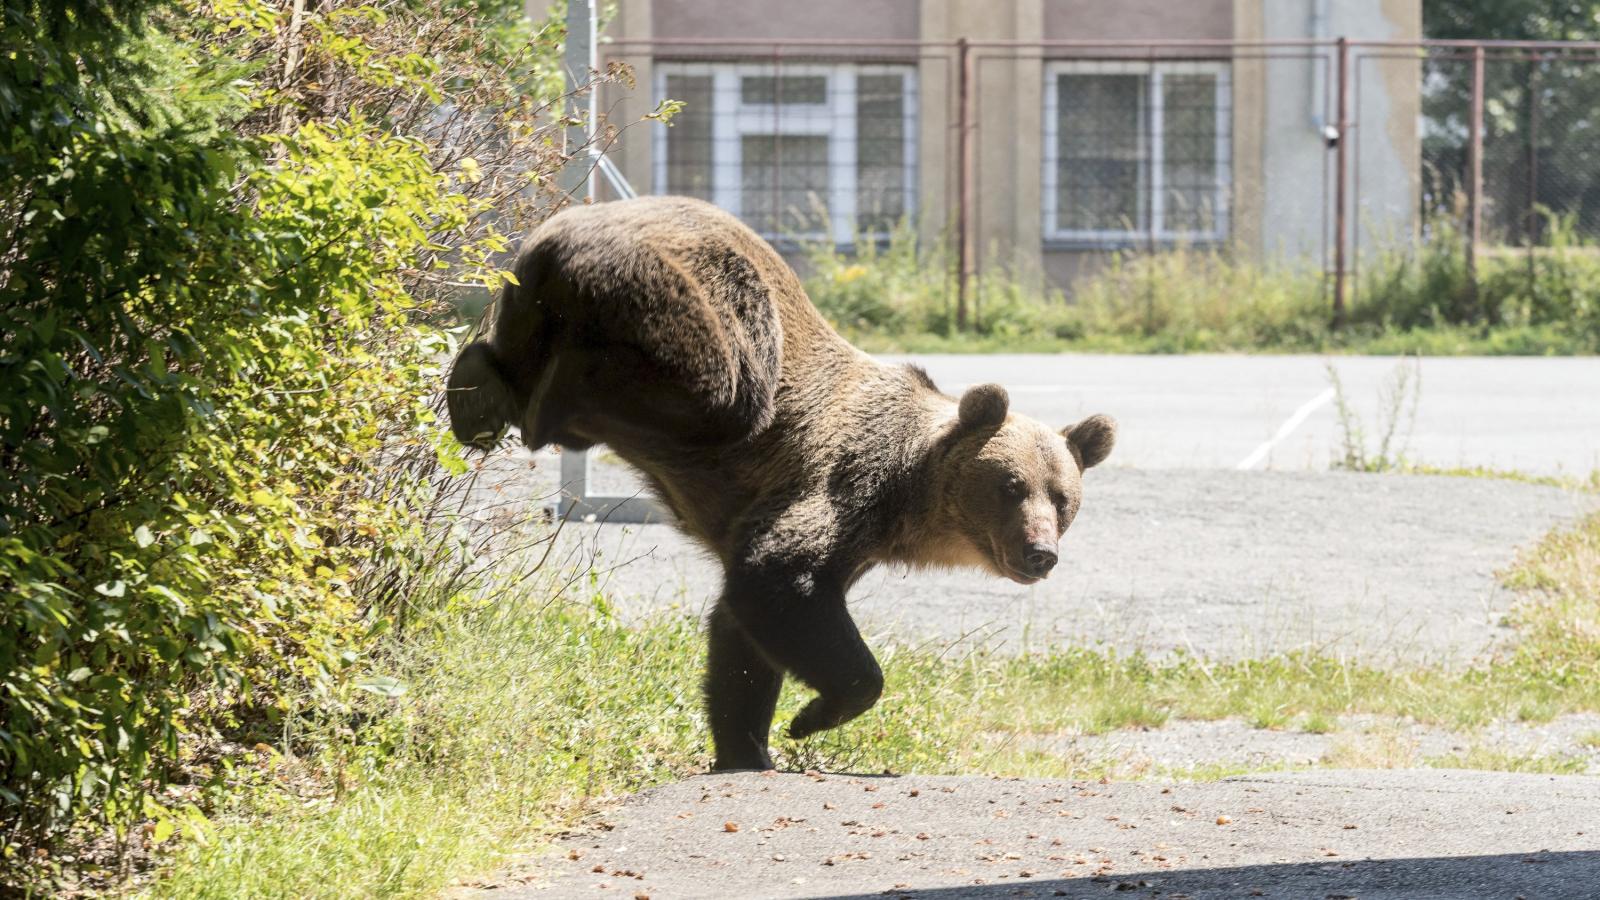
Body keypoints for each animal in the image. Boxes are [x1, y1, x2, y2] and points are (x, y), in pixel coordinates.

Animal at [444, 194, 1107, 762]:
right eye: (1011, 487)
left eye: (1063, 500)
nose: (1040, 552)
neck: (908, 499)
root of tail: (561, 232)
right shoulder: (844, 481)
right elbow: (778, 576)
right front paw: (810, 718)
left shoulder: (857, 541)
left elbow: (740, 633)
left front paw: (748, 745)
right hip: (695, 302)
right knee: (720, 386)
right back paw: (543, 403)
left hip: (528, 296)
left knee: (513, 354)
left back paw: (475, 391)